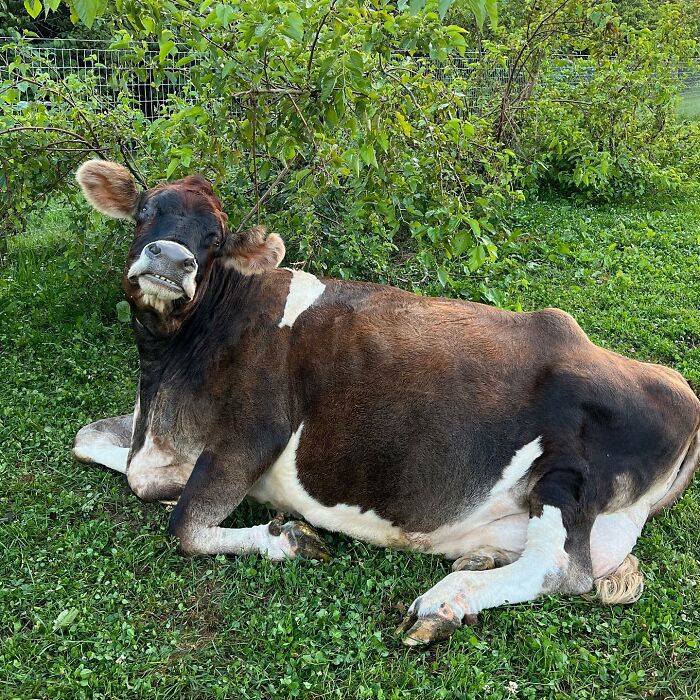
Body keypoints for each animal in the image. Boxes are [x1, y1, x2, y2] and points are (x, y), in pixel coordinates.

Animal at [72, 160, 700, 644]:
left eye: (215, 239)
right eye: (145, 211)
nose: (170, 259)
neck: (167, 370)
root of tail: (680, 387)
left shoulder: (251, 435)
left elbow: (181, 525)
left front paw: (290, 539)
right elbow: (90, 442)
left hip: (568, 472)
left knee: (562, 569)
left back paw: (444, 602)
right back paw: (475, 563)